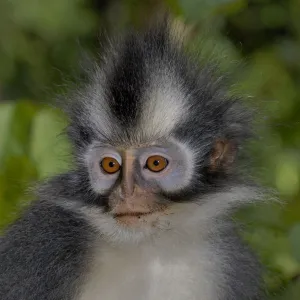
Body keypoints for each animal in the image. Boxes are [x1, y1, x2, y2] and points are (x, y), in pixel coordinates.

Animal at [0, 17, 268, 300]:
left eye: (155, 163)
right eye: (110, 165)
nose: (127, 193)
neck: (148, 245)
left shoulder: (229, 262)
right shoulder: (45, 242)